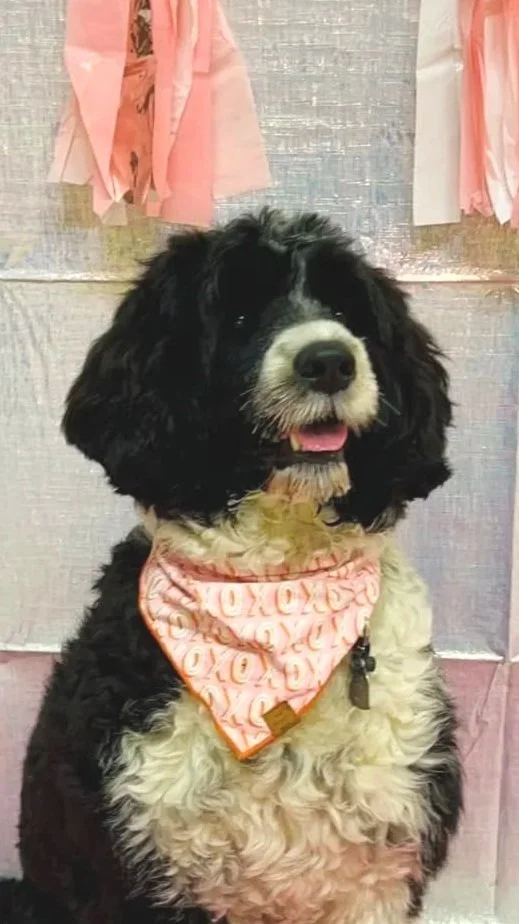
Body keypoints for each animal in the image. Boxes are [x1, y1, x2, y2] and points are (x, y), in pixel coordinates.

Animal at [0, 209, 462, 924]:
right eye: (239, 315)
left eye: (346, 310)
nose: (330, 360)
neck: (275, 590)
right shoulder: (138, 865)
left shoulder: (380, 871)